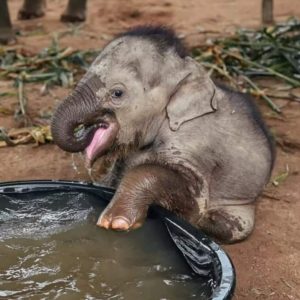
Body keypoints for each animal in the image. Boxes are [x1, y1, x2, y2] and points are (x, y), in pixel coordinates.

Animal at [51, 26, 274, 244]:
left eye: (117, 93)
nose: (89, 128)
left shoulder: (193, 143)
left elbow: (190, 198)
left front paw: (117, 221)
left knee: (226, 226)